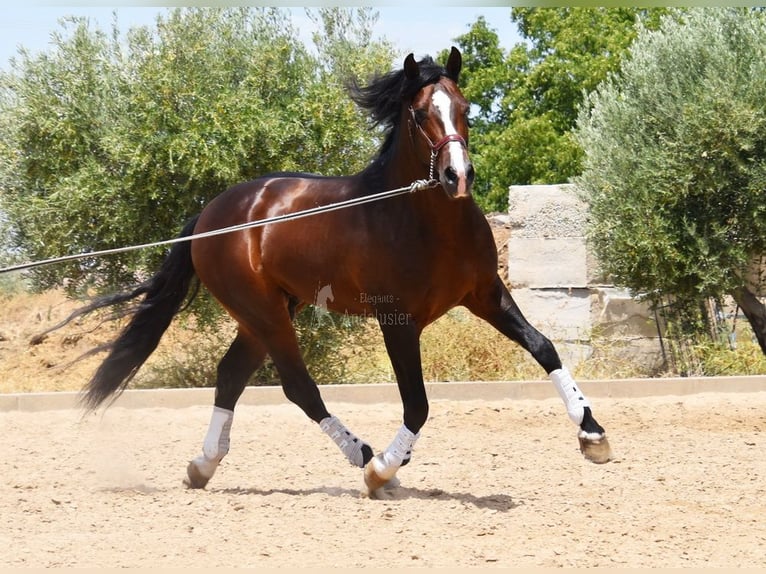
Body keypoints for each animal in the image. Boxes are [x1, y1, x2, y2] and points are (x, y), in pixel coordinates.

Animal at [73, 47, 612, 498]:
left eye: (465, 107)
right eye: (420, 113)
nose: (458, 176)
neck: (424, 221)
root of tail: (210, 214)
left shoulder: (485, 294)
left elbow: (543, 346)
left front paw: (593, 434)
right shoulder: (398, 321)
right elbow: (417, 403)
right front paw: (383, 471)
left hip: (266, 313)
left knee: (230, 376)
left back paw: (202, 466)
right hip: (265, 313)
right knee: (298, 387)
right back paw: (362, 454)